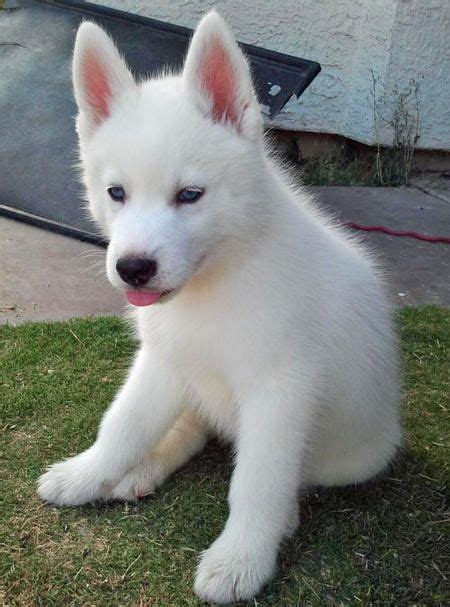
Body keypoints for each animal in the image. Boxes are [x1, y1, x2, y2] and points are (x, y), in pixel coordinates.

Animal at [38, 11, 402, 604]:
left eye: (190, 195)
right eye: (116, 192)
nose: (133, 269)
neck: (217, 281)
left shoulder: (280, 392)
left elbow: (257, 482)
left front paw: (241, 558)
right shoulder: (163, 359)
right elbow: (123, 424)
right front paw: (88, 473)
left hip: (351, 455)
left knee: (290, 475)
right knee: (190, 427)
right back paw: (141, 469)